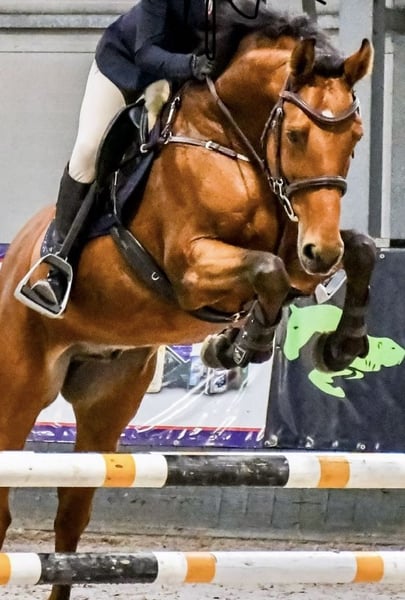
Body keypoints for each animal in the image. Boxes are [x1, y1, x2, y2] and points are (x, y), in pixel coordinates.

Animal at [0, 5, 375, 600]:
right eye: (295, 135)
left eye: (355, 139)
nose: (322, 251)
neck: (233, 141)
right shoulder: (191, 268)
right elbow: (265, 271)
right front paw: (243, 343)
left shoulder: (297, 251)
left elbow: (356, 251)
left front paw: (339, 344)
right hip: (18, 391)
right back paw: (48, 285)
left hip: (108, 399)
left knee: (71, 513)